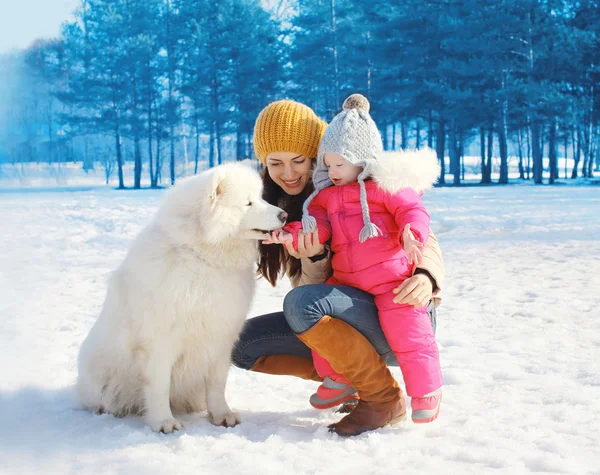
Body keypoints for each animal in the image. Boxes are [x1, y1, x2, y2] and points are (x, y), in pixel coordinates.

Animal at [76, 162, 288, 434]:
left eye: (261, 198)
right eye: (248, 203)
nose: (284, 215)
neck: (203, 258)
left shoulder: (221, 339)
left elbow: (217, 383)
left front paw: (222, 415)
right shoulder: (160, 343)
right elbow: (159, 385)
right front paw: (163, 422)